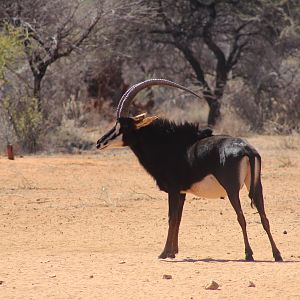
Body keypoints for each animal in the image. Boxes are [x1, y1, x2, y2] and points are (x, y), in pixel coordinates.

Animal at [95, 78, 282, 262]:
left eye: (124, 127)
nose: (99, 142)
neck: (169, 144)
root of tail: (246, 149)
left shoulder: (173, 189)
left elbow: (171, 218)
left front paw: (164, 253)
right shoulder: (182, 193)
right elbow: (178, 219)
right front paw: (173, 252)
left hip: (232, 189)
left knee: (241, 217)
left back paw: (249, 254)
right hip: (256, 187)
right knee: (264, 217)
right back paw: (277, 254)